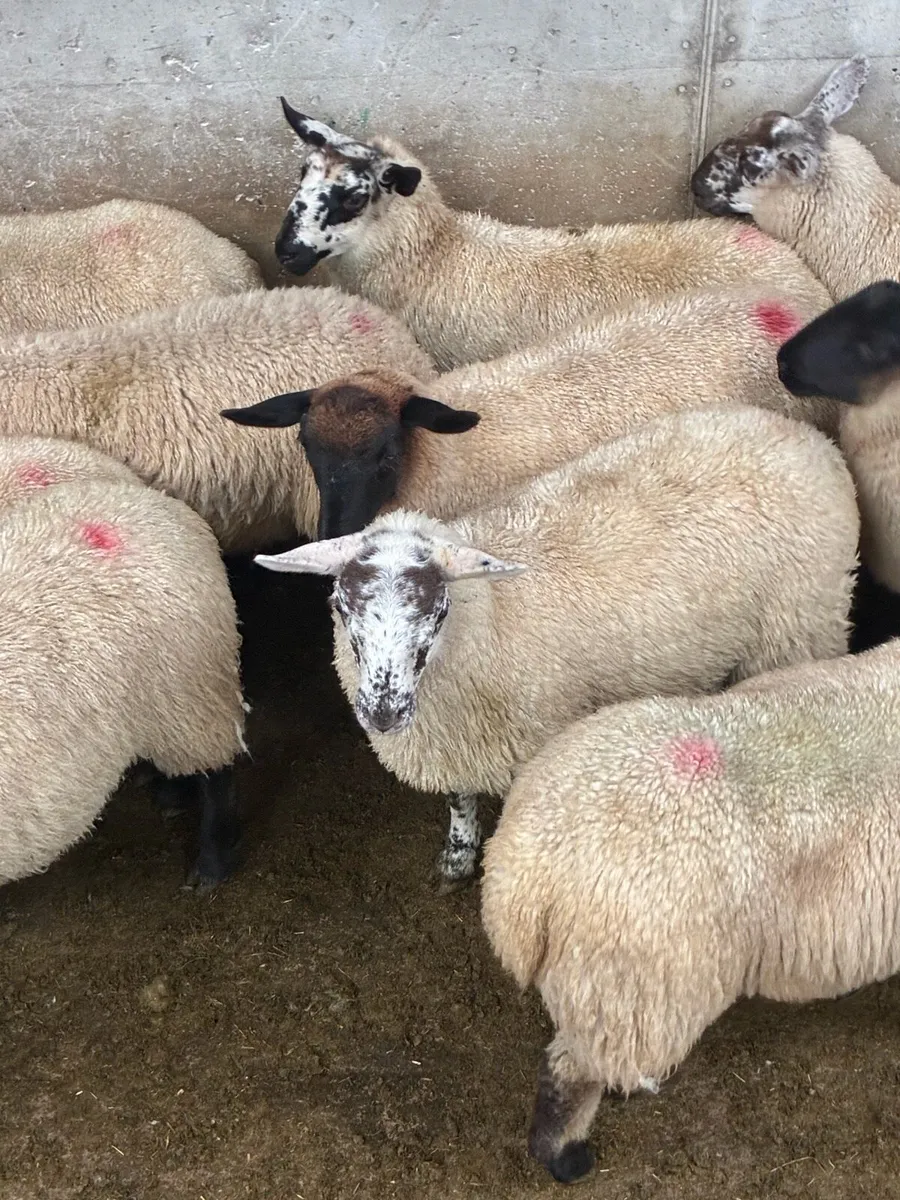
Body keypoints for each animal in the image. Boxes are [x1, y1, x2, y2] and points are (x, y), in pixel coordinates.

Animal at [253, 406, 859, 890]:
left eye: (438, 611)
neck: (491, 616)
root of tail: (805, 436)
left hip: (801, 625)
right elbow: (459, 800)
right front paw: (457, 857)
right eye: (340, 607)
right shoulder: (460, 744)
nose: (384, 711)